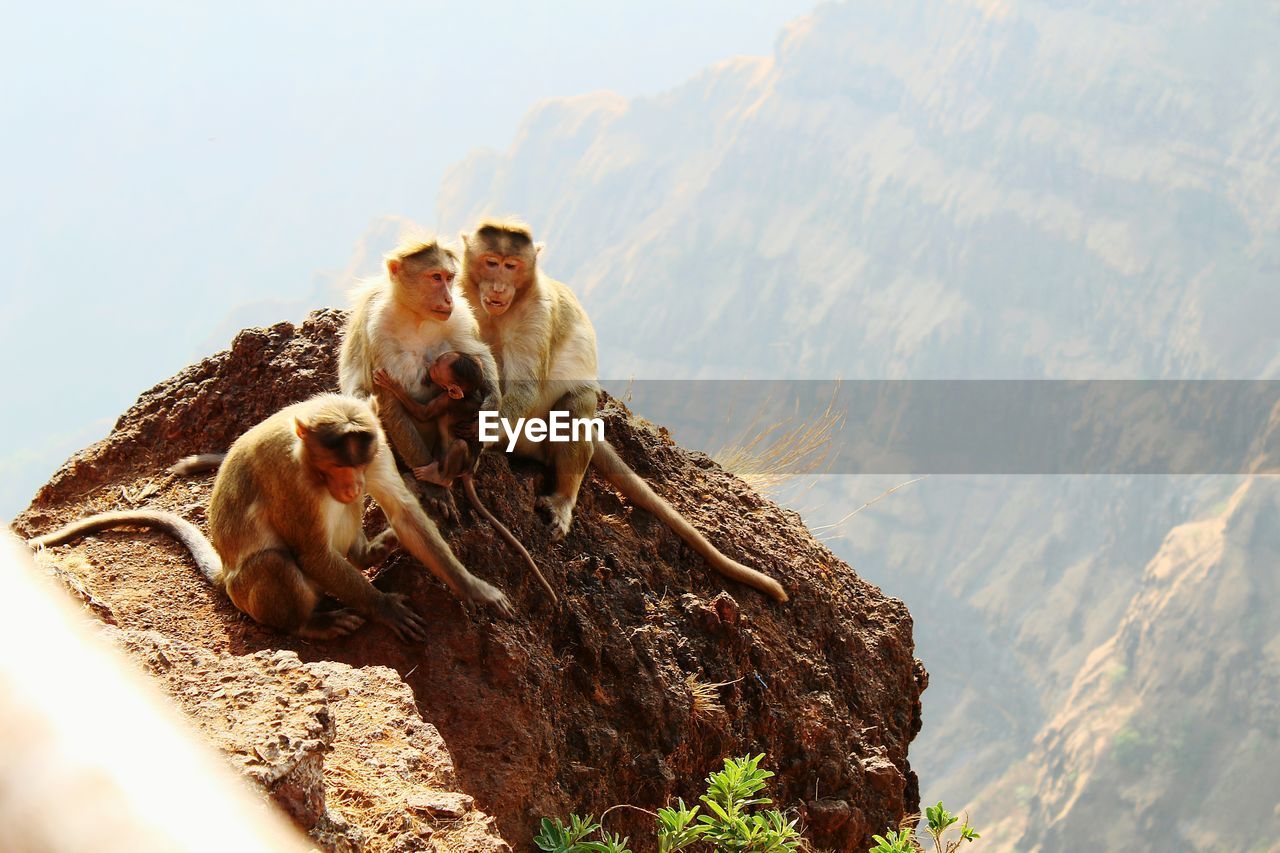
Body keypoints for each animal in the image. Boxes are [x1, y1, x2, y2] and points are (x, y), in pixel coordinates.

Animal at [340, 234, 499, 525]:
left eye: (449, 277)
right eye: (435, 277)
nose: (447, 298)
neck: (415, 315)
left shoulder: (457, 316)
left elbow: (477, 353)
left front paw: (490, 408)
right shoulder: (377, 328)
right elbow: (388, 401)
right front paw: (434, 489)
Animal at [376, 350, 563, 604]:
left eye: (439, 365)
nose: (431, 363)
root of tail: (468, 471)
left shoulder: (446, 399)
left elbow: (423, 413)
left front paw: (391, 384)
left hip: (459, 460)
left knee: (459, 446)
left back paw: (438, 476)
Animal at [455, 220, 783, 604]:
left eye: (512, 266)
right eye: (491, 262)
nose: (498, 286)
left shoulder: (537, 314)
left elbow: (526, 388)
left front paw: (478, 433)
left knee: (573, 407)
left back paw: (563, 498)